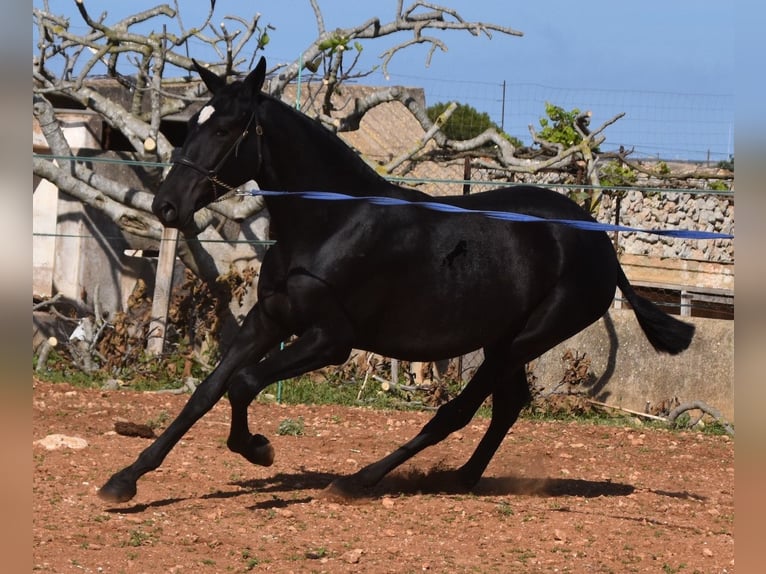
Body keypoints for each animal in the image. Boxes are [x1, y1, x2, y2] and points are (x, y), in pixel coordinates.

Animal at [97, 59, 696, 504]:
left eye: (224, 129)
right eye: (192, 126)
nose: (166, 206)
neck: (331, 222)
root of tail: (601, 243)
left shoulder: (331, 341)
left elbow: (243, 384)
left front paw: (259, 449)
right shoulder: (270, 319)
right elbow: (208, 390)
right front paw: (124, 481)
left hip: (526, 338)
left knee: (457, 411)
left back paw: (360, 480)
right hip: (504, 340)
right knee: (506, 406)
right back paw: (461, 479)